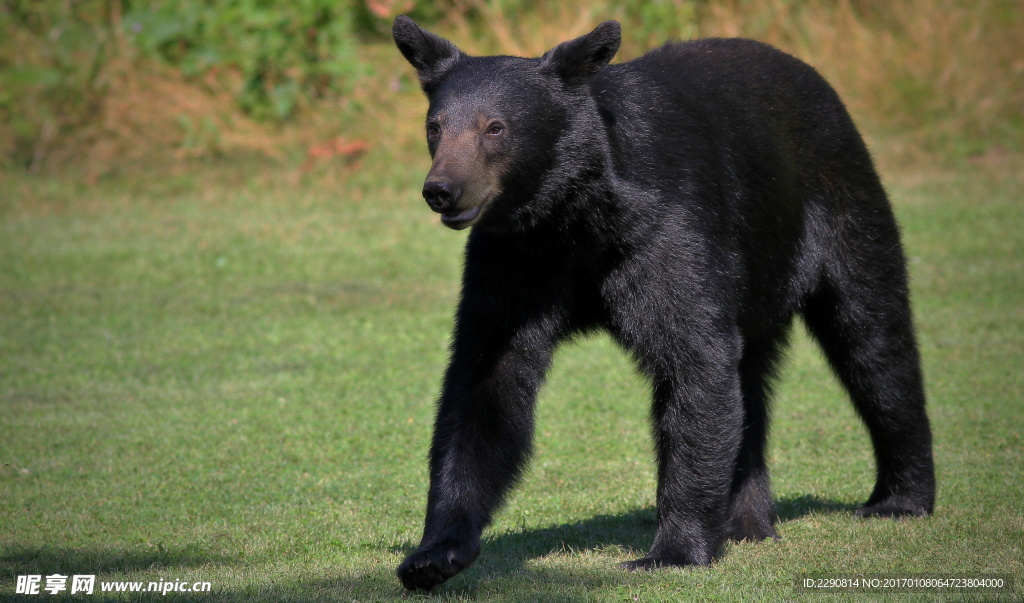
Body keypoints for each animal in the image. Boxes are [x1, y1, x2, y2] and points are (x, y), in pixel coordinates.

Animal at [391, 16, 936, 592]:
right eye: (435, 127)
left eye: (495, 127)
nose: (442, 190)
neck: (573, 216)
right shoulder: (513, 262)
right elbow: (485, 382)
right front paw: (434, 554)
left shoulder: (667, 231)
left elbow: (693, 359)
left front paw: (673, 550)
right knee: (752, 380)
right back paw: (747, 522)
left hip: (842, 204)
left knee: (873, 340)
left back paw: (899, 498)